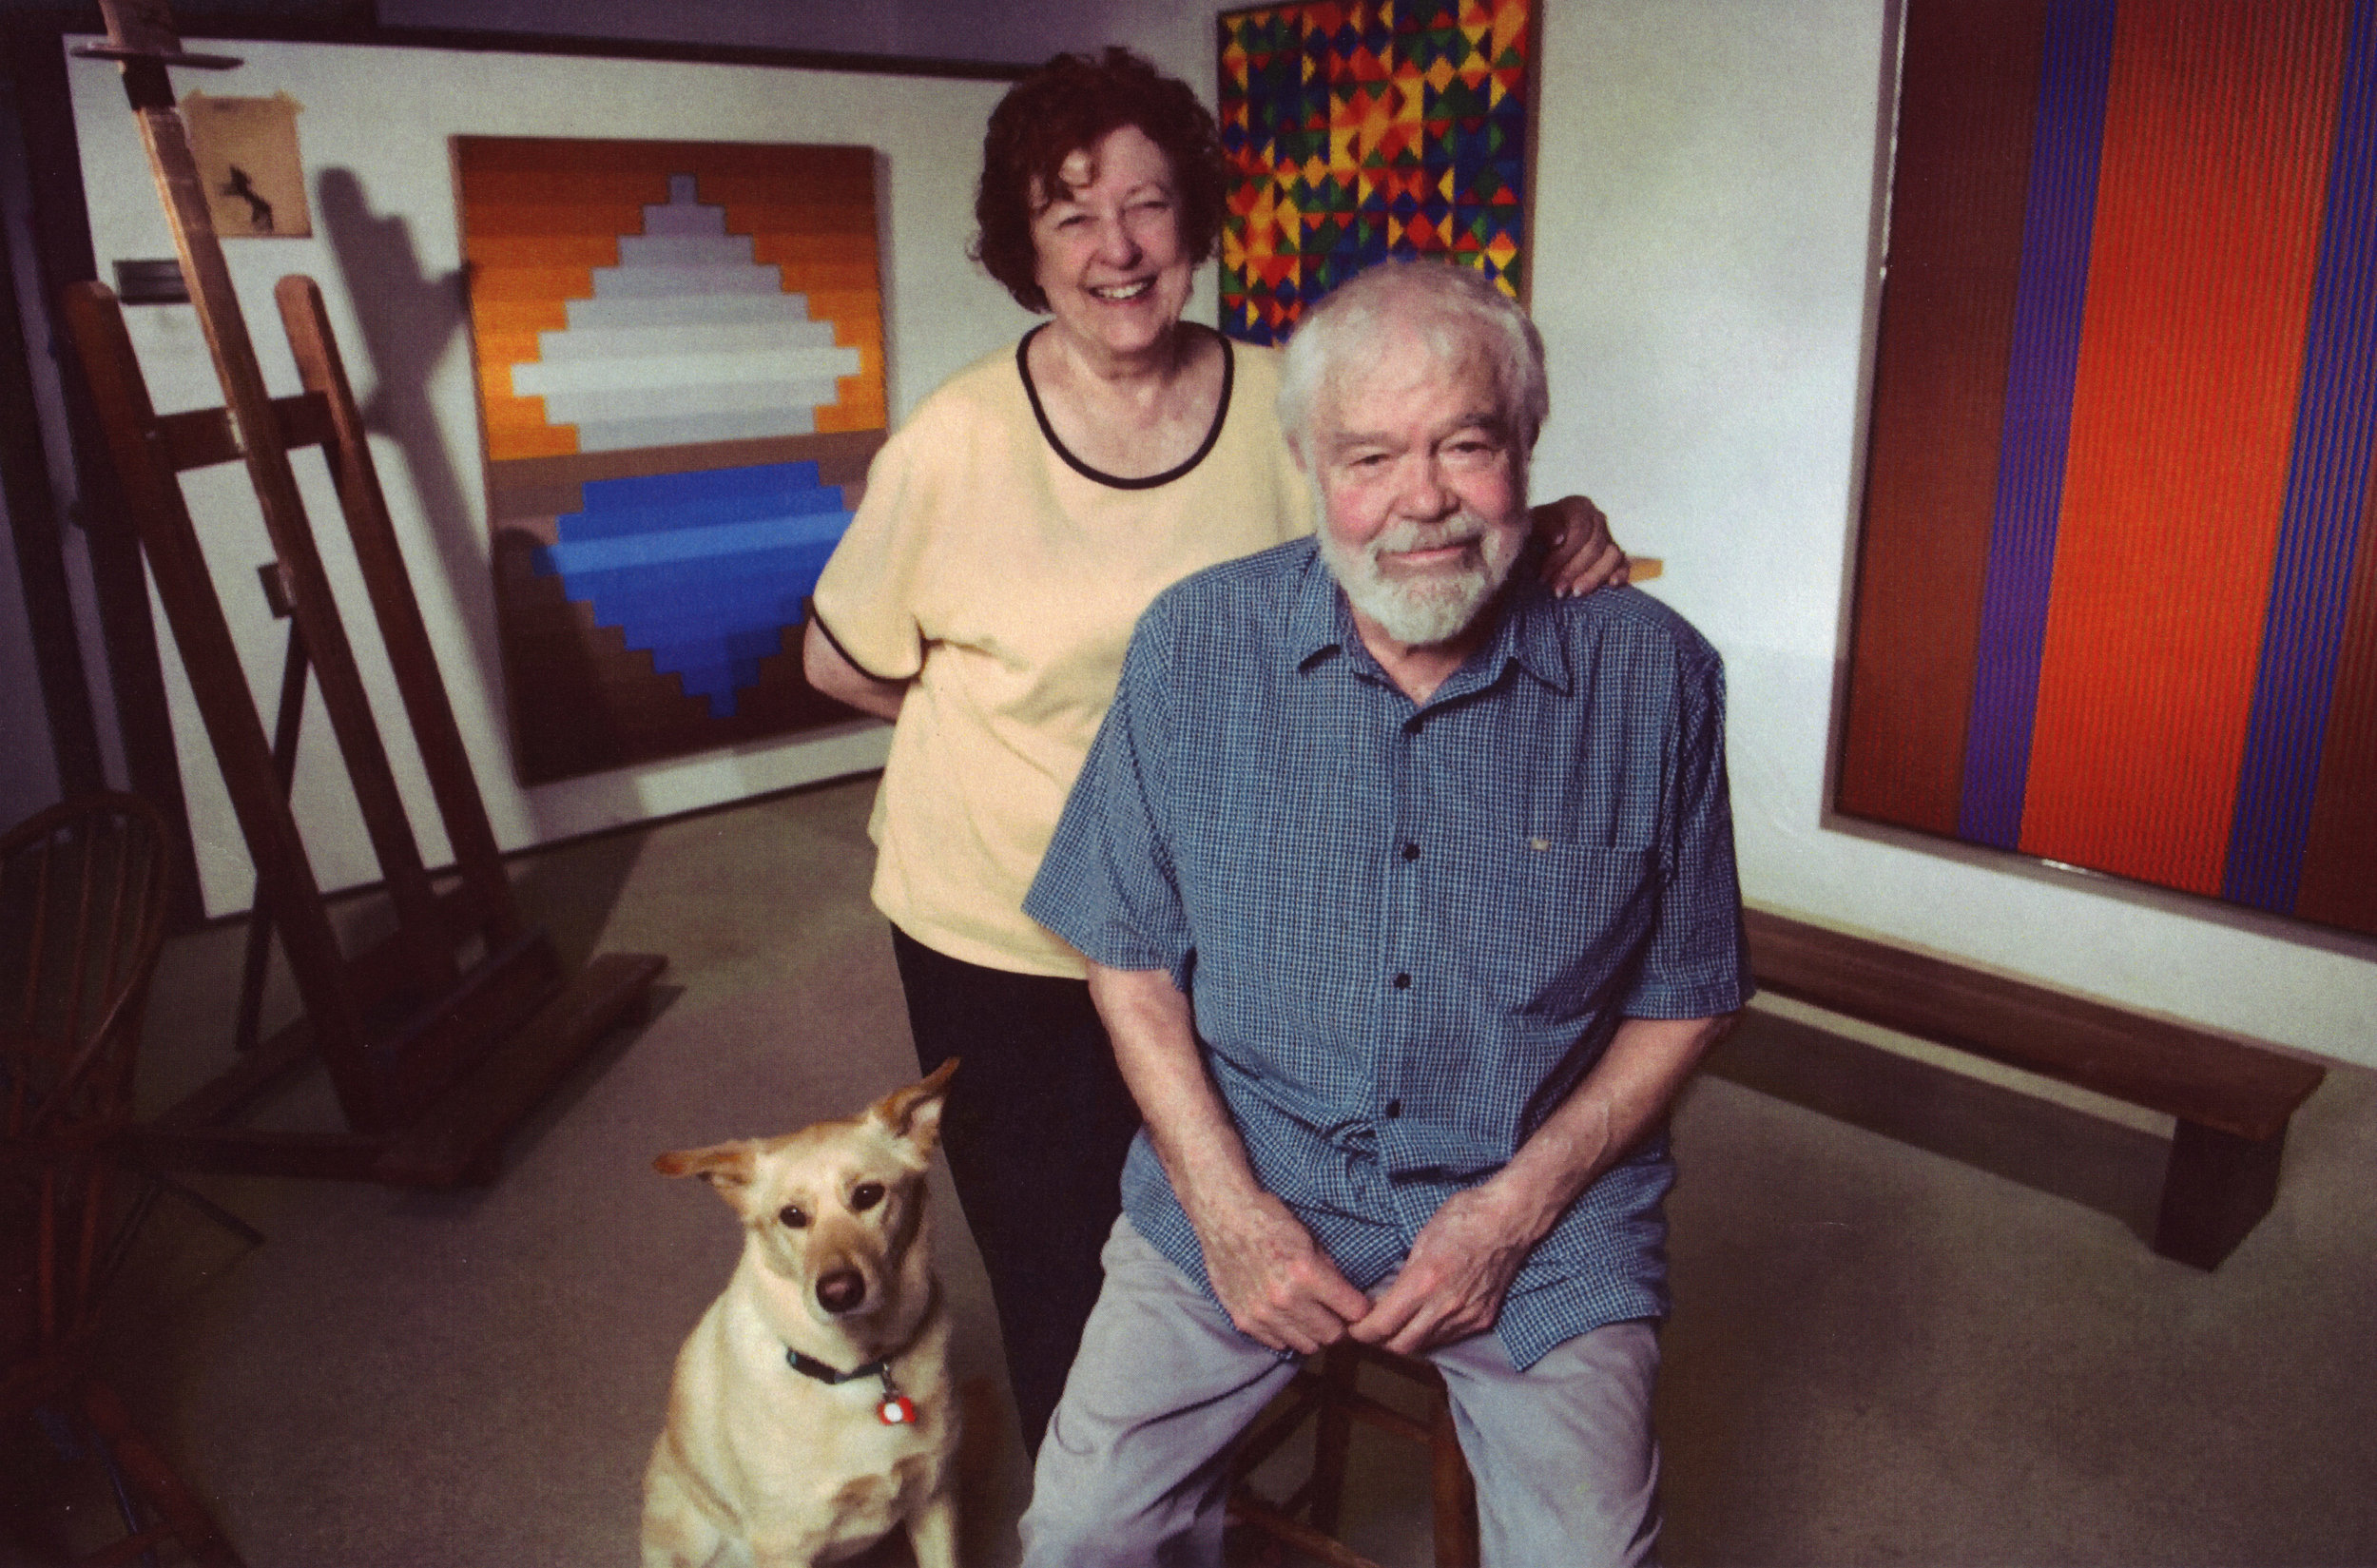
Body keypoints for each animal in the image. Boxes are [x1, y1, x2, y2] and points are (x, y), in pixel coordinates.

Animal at [647, 1059, 960, 1558]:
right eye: (792, 1216)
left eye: (868, 1195)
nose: (838, 1291)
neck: (857, 1368)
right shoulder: (783, 1547)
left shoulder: (935, 1501)